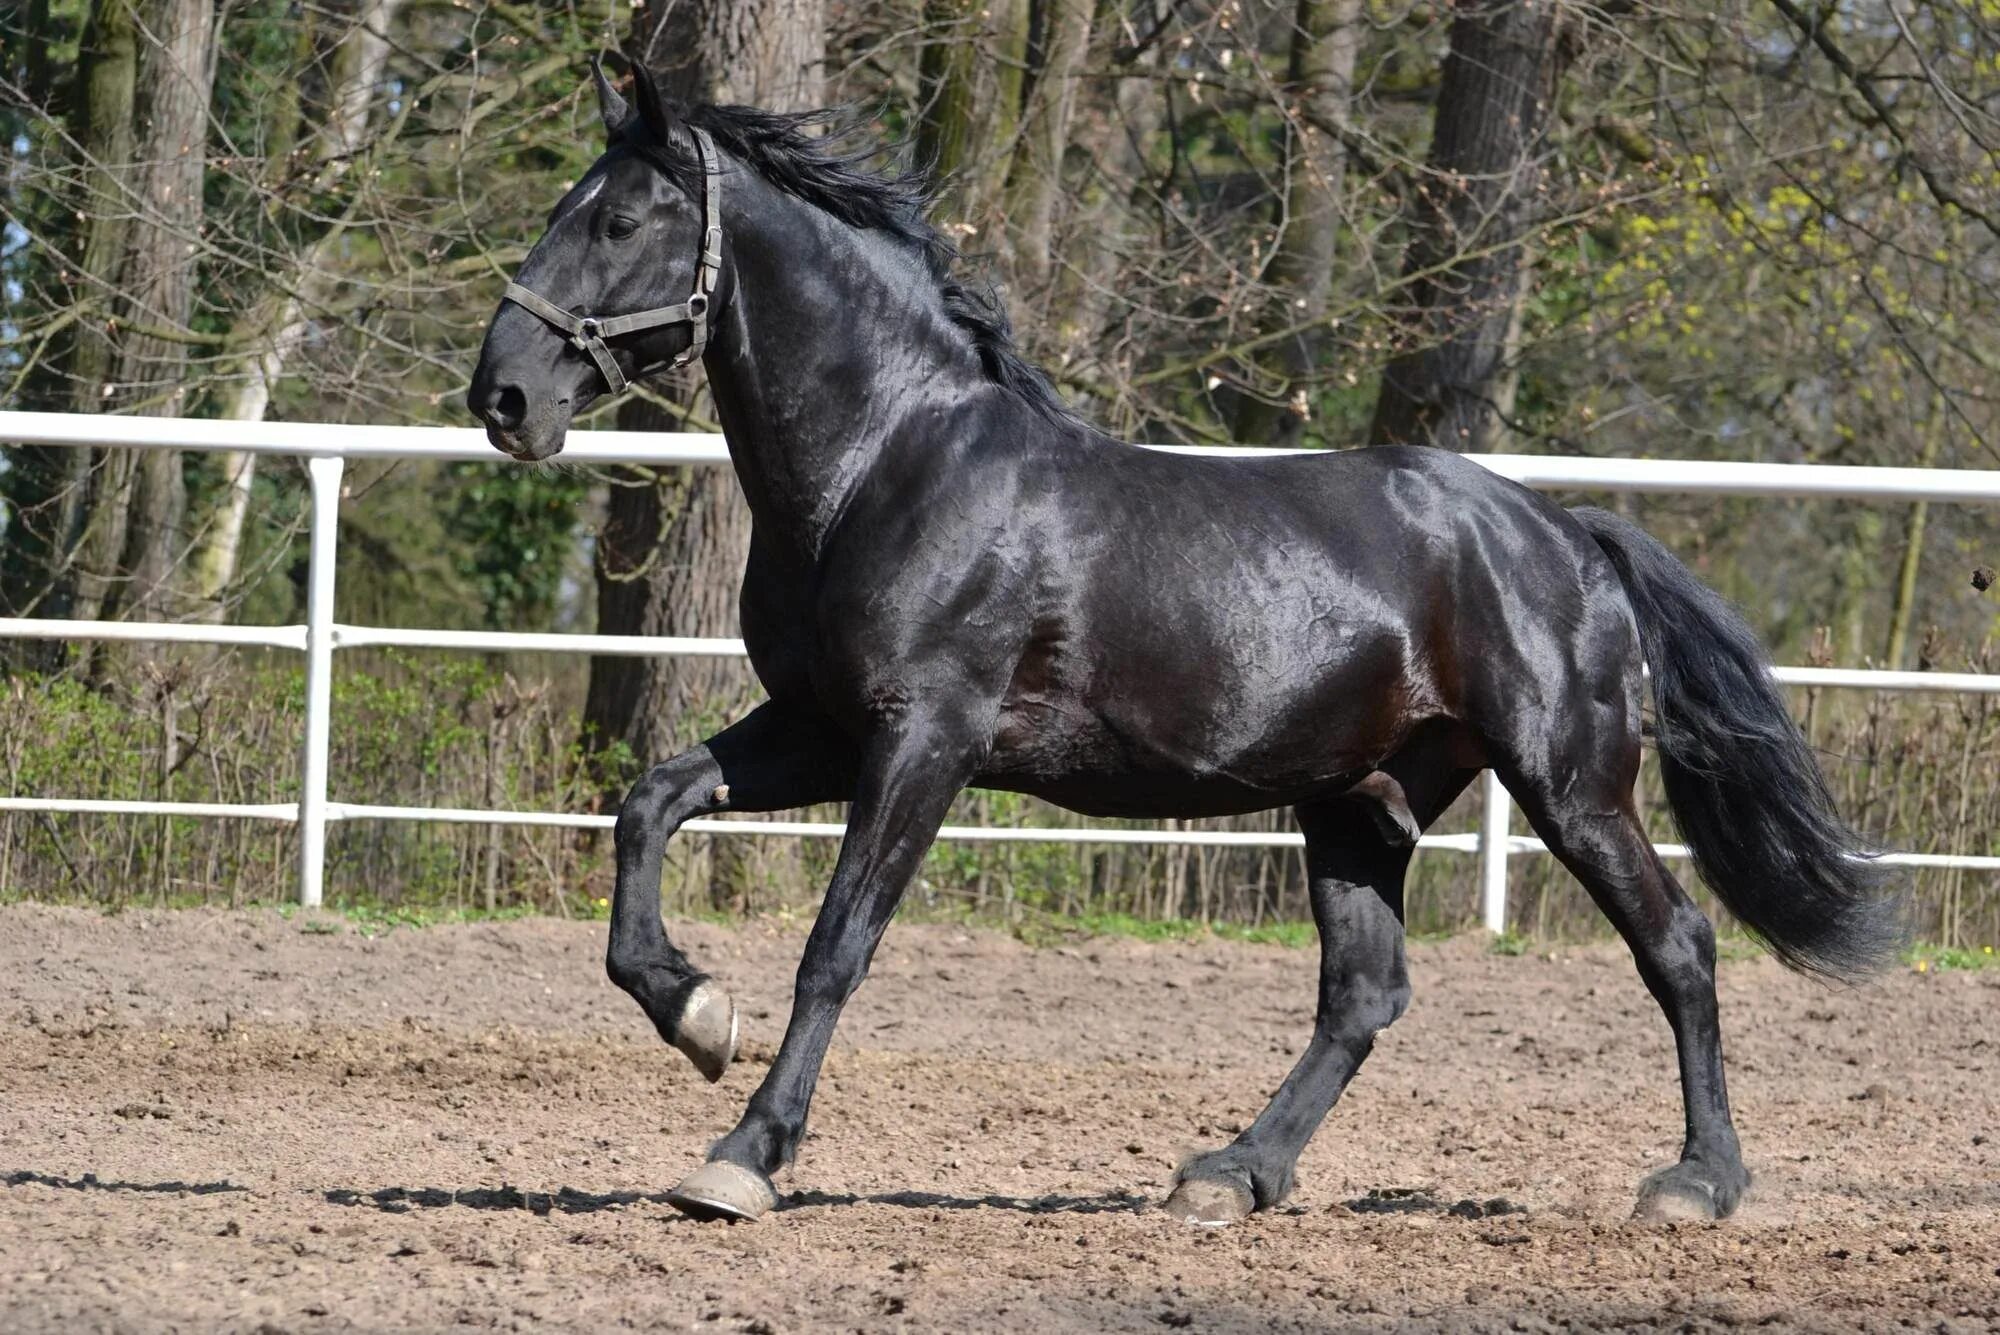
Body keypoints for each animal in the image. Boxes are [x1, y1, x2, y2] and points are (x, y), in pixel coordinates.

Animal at [468, 62, 1904, 1223]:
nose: (505, 397)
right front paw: (693, 1009)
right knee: (1363, 994)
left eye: (620, 217)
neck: (891, 462)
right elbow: (650, 804)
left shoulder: (922, 739)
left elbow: (840, 943)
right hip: (1361, 801)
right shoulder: (818, 726)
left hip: (1569, 785)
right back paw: (1231, 1173)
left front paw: (743, 1155)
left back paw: (1696, 1184)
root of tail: (1562, 530)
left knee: (1679, 947)